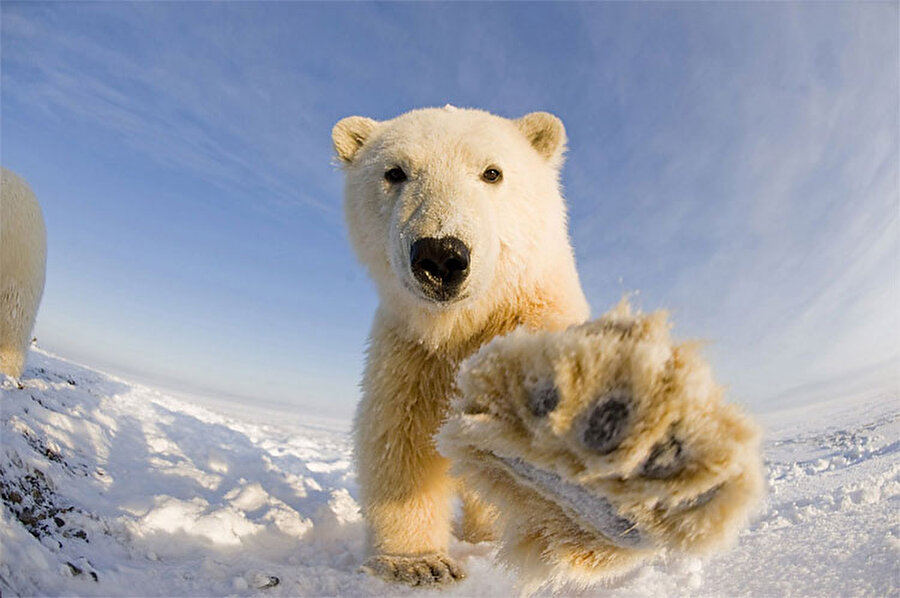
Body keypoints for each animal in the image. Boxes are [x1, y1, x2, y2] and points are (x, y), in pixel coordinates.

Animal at [330, 105, 760, 588]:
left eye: (492, 172)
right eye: (395, 172)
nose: (440, 255)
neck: (464, 325)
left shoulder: (535, 319)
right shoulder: (411, 354)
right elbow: (399, 442)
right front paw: (417, 563)